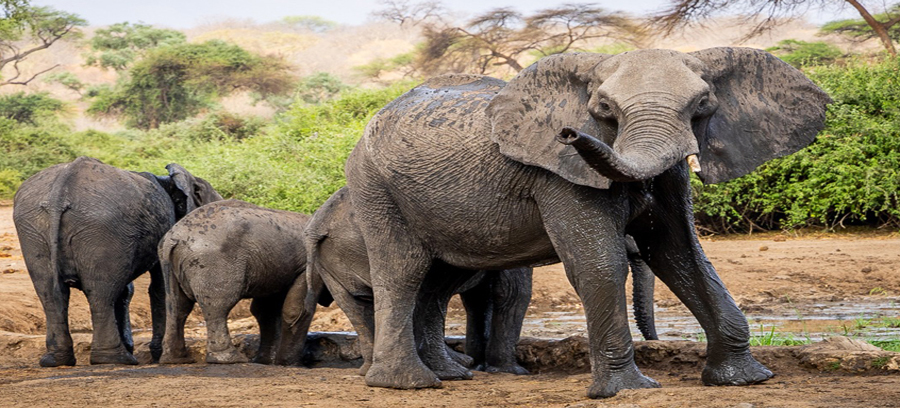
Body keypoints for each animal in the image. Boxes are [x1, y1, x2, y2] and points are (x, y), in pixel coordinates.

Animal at [13, 156, 221, 366]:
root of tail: (59, 194)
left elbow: (127, 289)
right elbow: (160, 286)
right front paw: (158, 353)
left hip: (34, 229)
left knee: (50, 293)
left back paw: (56, 360)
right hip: (99, 228)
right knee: (100, 293)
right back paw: (115, 359)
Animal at [158, 199, 330, 365]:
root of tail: (172, 238)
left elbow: (265, 309)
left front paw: (265, 361)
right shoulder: (310, 265)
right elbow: (298, 308)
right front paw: (289, 363)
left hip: (171, 263)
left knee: (177, 307)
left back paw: (175, 360)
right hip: (212, 262)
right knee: (218, 307)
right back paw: (232, 359)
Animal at [341, 47, 830, 397]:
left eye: (703, 103)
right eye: (604, 107)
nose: (570, 134)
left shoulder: (669, 178)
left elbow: (681, 256)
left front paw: (745, 379)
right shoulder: (558, 173)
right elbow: (600, 265)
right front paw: (628, 391)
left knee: (441, 280)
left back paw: (448, 376)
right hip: (373, 184)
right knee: (403, 271)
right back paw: (407, 384)